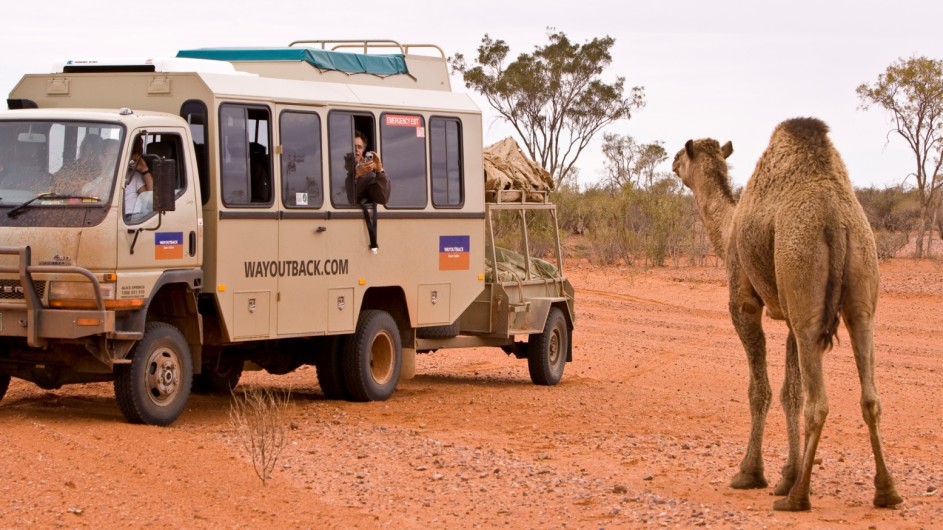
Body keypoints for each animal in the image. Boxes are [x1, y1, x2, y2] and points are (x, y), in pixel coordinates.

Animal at [672, 117, 908, 510]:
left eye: (682, 153)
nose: (673, 162)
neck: (729, 225)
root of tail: (836, 219)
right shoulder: (790, 317)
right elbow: (790, 393)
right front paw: (787, 474)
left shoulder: (744, 303)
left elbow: (761, 390)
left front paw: (752, 474)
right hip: (859, 283)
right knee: (870, 396)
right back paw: (886, 491)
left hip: (803, 268)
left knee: (819, 403)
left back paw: (798, 498)